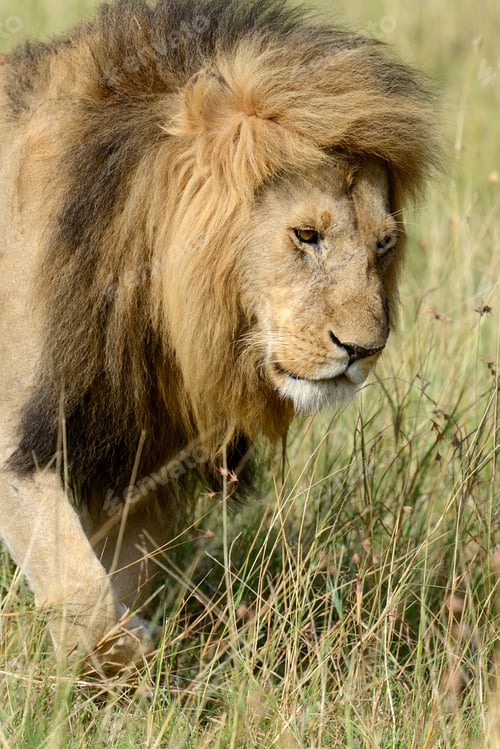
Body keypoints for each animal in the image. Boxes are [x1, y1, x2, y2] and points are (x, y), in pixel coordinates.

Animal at [0, 0, 440, 668]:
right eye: (306, 235)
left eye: (384, 244)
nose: (362, 351)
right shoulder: (19, 446)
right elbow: (85, 596)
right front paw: (128, 648)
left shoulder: (137, 466)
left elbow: (116, 583)